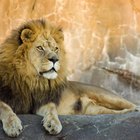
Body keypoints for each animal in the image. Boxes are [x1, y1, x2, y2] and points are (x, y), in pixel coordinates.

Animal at [0, 19, 138, 137]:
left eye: (56, 48)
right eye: (40, 48)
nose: (55, 59)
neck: (33, 80)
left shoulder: (44, 101)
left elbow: (51, 109)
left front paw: (54, 124)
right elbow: (5, 108)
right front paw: (13, 126)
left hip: (105, 96)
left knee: (131, 105)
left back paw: (134, 110)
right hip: (94, 110)